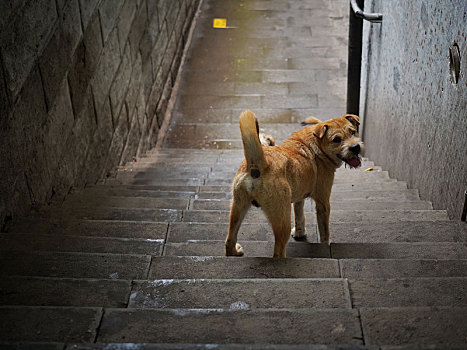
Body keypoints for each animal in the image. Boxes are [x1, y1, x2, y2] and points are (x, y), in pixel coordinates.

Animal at [225, 110, 364, 258]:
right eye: (336, 139)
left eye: (352, 131)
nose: (355, 147)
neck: (316, 144)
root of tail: (258, 164)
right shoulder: (323, 202)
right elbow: (324, 232)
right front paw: (325, 246)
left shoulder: (299, 195)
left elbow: (299, 214)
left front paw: (299, 232)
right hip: (281, 219)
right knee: (278, 251)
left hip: (237, 208)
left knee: (229, 240)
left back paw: (234, 252)